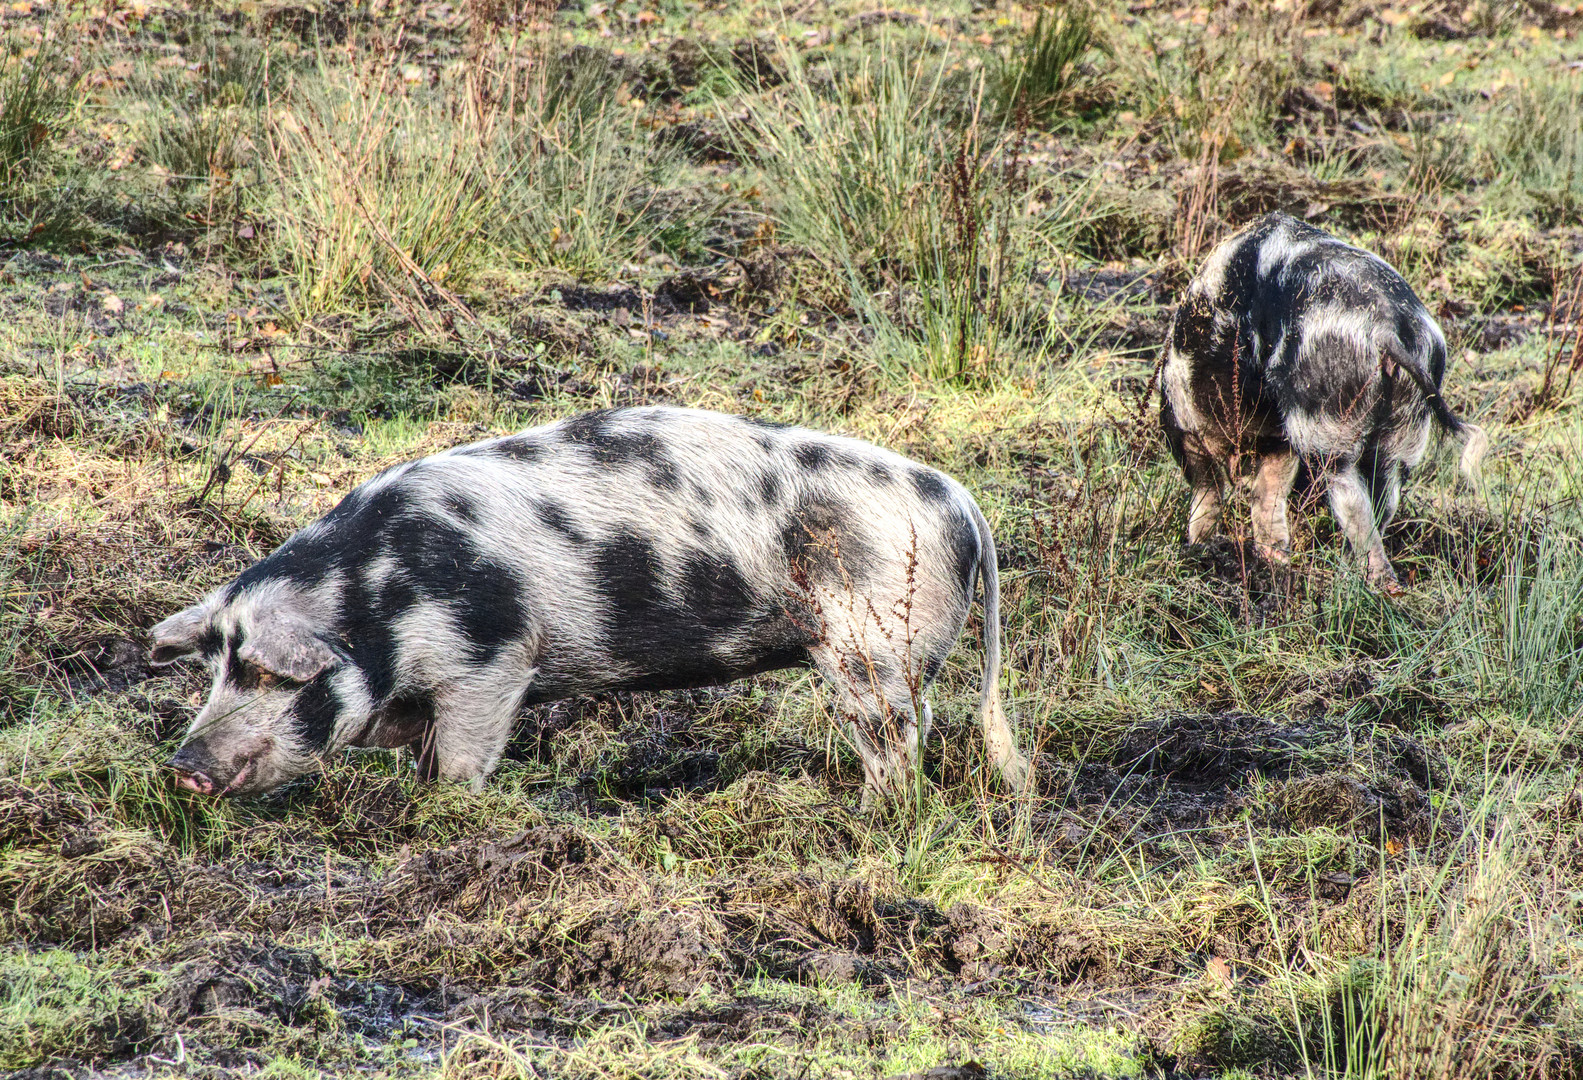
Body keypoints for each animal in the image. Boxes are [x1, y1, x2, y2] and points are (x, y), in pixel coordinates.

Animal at [154, 403, 1032, 798]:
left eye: (271, 674)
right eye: (217, 666)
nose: (184, 767)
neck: (378, 602)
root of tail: (959, 497)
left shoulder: (491, 659)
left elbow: (464, 758)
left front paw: (447, 810)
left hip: (871, 646)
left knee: (900, 735)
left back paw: (870, 812)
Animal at [1165, 205, 1481, 585]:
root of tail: (1386, 328)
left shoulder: (1199, 430)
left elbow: (1209, 493)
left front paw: (1199, 545)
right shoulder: (1277, 441)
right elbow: (1267, 495)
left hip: (1327, 416)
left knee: (1352, 500)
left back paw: (1370, 581)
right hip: (1406, 427)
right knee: (1384, 495)